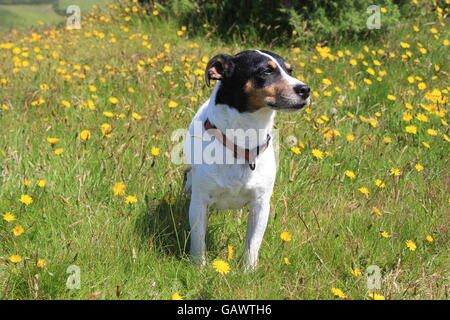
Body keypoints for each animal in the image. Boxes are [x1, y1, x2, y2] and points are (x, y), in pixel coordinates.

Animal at [183, 50, 310, 270]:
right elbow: (198, 239)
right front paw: (199, 267)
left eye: (290, 70)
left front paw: (248, 271)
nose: (306, 89)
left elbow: (253, 243)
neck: (242, 143)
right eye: (266, 71)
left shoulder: (261, 204)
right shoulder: (200, 202)